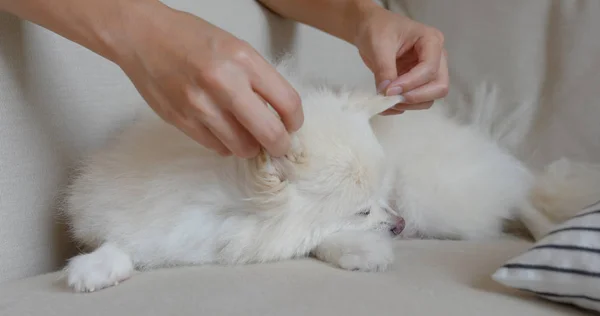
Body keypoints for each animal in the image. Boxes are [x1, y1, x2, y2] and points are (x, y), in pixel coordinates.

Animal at [64, 58, 600, 292]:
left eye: (383, 197)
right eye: (364, 209)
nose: (399, 224)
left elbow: (318, 239)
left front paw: (364, 253)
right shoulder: (160, 225)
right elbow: (124, 243)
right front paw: (94, 268)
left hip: (437, 199)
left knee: (519, 199)